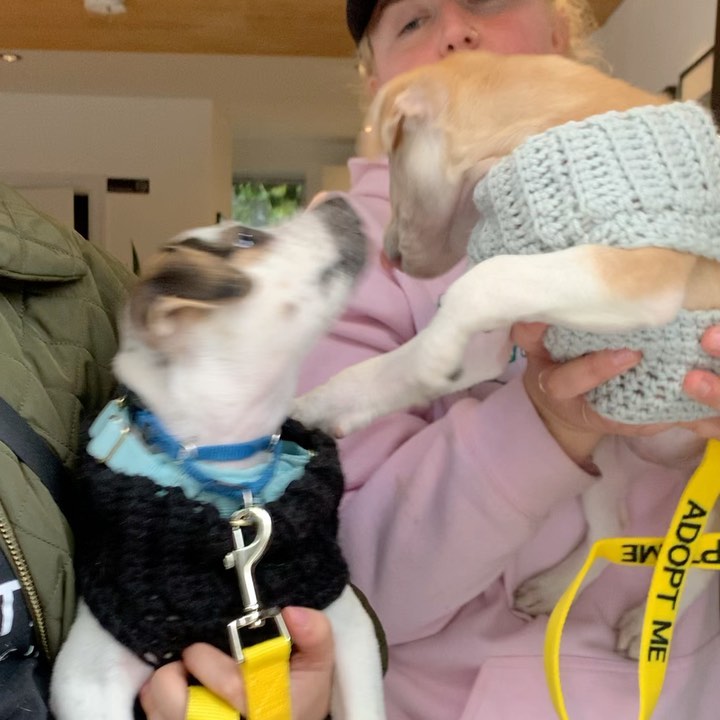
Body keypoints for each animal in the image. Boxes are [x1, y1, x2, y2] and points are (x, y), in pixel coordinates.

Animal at [50, 200, 386, 720]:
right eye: (246, 239)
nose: (337, 200)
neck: (233, 474)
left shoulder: (350, 630)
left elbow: (366, 708)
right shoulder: (86, 678)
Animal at [292, 50, 720, 660]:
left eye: (392, 159)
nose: (389, 257)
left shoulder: (639, 272)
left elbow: (484, 280)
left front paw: (432, 352)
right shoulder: (501, 336)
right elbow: (387, 368)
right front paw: (315, 405)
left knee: (703, 562)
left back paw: (646, 623)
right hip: (602, 451)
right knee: (610, 527)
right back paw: (555, 588)